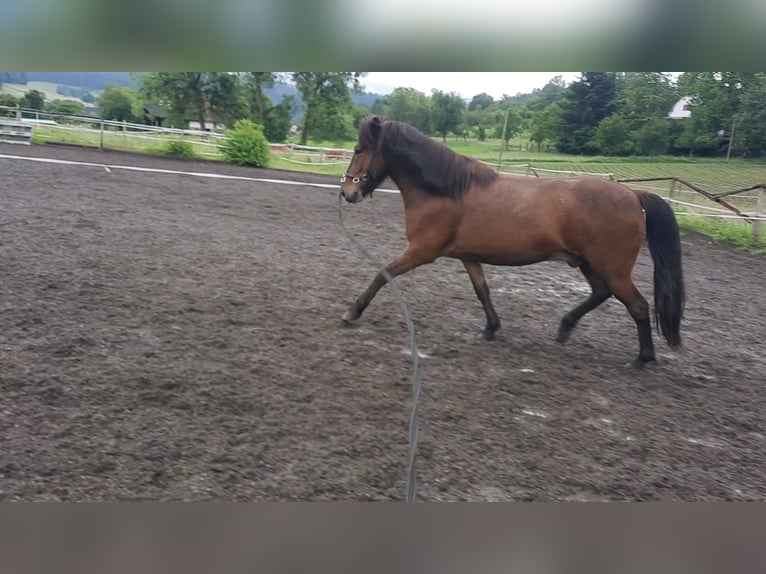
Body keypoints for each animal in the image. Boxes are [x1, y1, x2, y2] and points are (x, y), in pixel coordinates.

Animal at [340, 116, 688, 368]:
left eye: (358, 150)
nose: (347, 192)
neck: (447, 191)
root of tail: (633, 195)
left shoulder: (421, 251)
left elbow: (382, 273)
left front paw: (353, 311)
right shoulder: (469, 256)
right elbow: (482, 291)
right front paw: (492, 327)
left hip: (613, 269)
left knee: (638, 306)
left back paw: (642, 358)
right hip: (590, 264)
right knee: (602, 294)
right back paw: (565, 327)